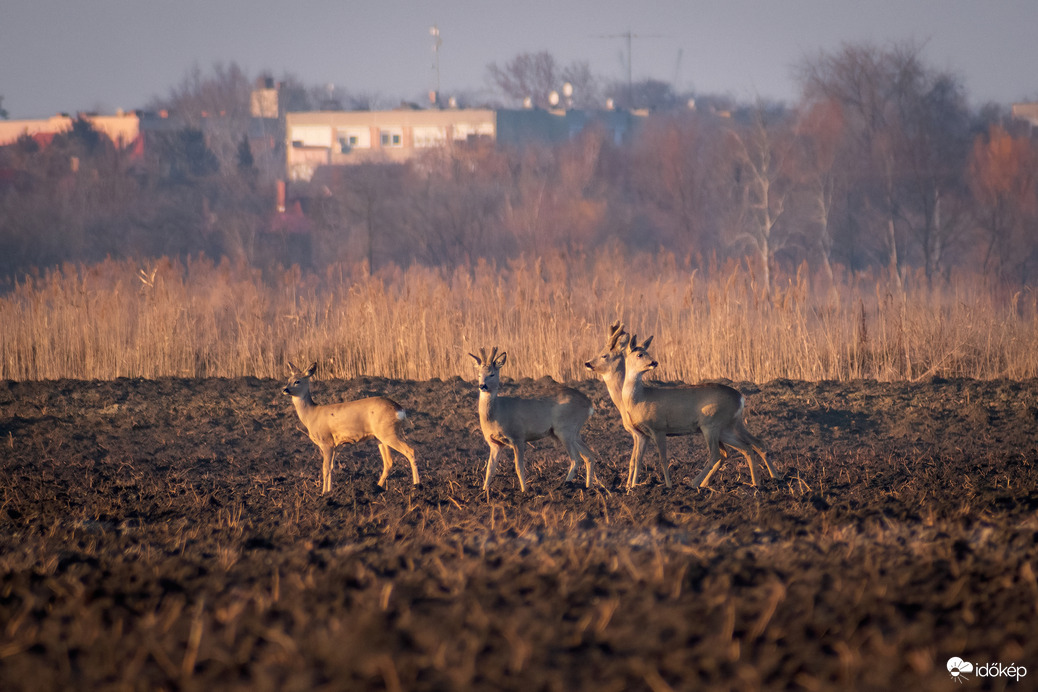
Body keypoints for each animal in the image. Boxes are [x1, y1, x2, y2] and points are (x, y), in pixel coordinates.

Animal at [282, 363, 419, 491]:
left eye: (297, 381)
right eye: (288, 379)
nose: (285, 389)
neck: (311, 415)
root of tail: (399, 409)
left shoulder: (326, 441)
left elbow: (325, 468)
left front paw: (324, 493)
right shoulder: (335, 445)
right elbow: (332, 468)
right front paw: (330, 491)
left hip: (388, 432)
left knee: (410, 451)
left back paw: (417, 485)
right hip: (380, 437)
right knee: (389, 462)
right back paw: (377, 487)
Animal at [467, 346, 597, 491]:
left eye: (492, 374)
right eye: (479, 375)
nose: (482, 386)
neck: (497, 413)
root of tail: (589, 404)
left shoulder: (518, 436)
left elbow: (519, 467)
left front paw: (524, 490)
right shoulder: (495, 443)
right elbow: (490, 469)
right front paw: (484, 490)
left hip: (565, 429)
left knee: (576, 458)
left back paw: (564, 485)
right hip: (573, 431)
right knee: (589, 456)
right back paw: (588, 487)